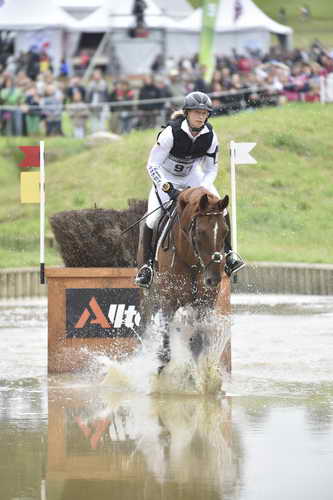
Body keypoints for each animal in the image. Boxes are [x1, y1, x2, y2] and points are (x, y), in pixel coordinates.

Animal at [143, 188, 231, 372]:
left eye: (225, 232)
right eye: (200, 232)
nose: (213, 279)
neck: (191, 259)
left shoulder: (204, 303)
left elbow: (198, 341)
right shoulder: (168, 299)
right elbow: (166, 335)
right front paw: (162, 365)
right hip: (149, 294)